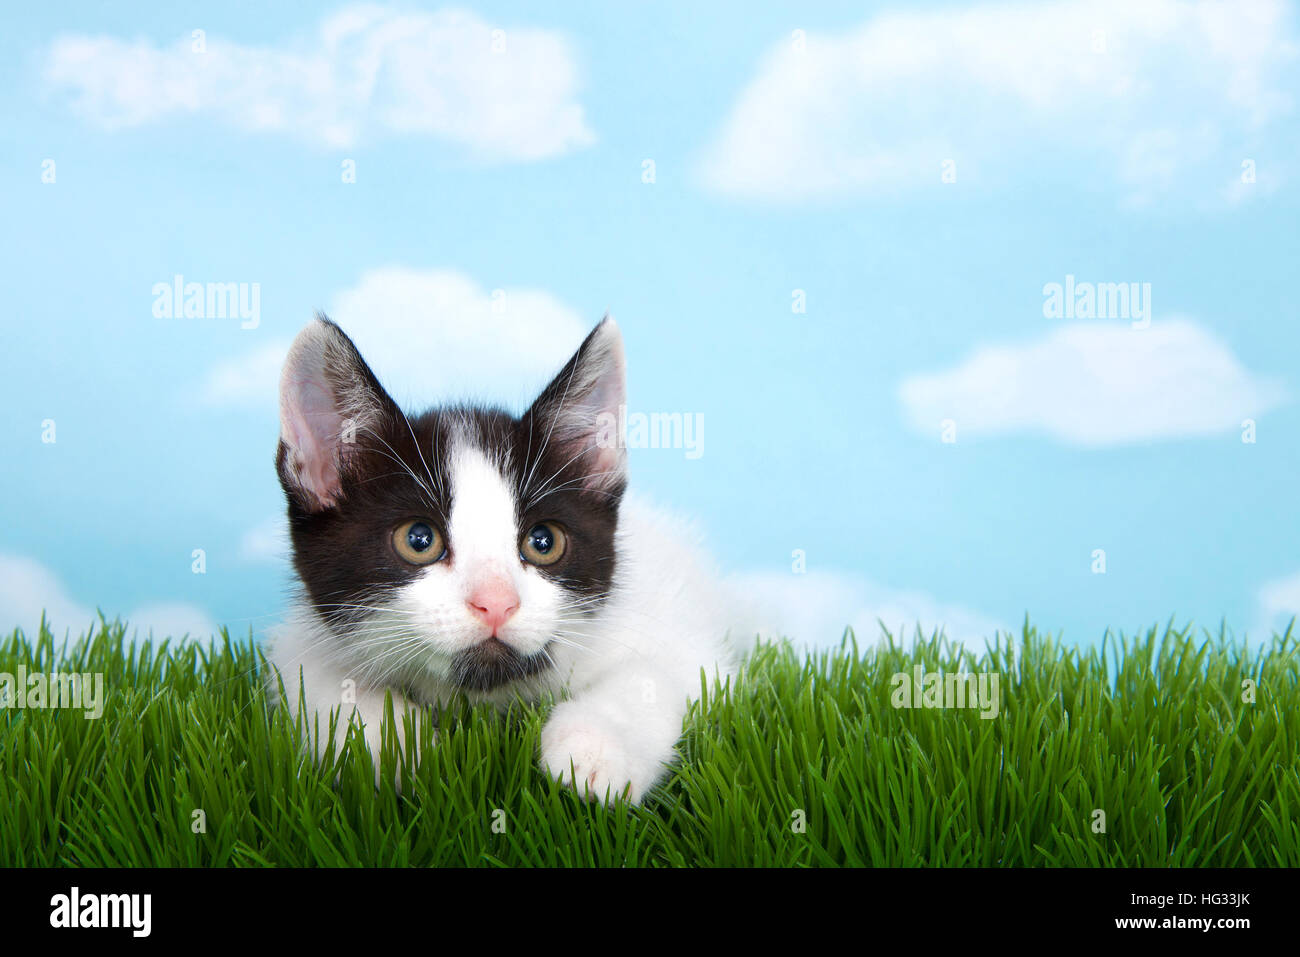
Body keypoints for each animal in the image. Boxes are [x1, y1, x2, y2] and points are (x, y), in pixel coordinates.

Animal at [263, 312, 743, 800]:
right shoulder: (300, 643)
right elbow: (322, 684)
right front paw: (391, 749)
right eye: (418, 539)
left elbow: (656, 675)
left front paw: (594, 748)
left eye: (543, 541)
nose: (496, 603)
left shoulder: (682, 639)